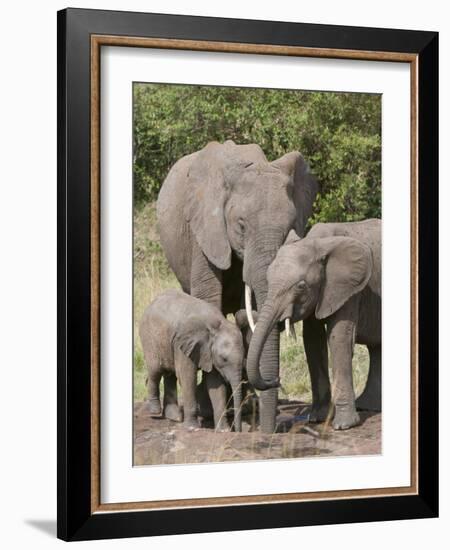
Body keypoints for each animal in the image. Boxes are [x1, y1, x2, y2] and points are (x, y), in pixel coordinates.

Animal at [141, 292, 246, 434]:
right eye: (223, 359)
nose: (239, 431)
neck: (216, 325)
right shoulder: (184, 344)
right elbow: (188, 377)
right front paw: (192, 428)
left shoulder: (208, 352)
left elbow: (216, 384)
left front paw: (223, 431)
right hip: (149, 338)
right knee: (155, 370)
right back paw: (155, 412)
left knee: (170, 374)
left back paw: (174, 417)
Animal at [156, 142, 318, 436]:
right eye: (241, 225)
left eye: (291, 227)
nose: (275, 380)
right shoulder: (204, 229)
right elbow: (208, 298)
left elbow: (250, 317)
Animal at [248, 220, 382, 432]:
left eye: (301, 286)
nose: (275, 380)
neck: (318, 243)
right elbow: (312, 340)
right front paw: (317, 419)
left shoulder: (349, 288)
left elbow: (338, 338)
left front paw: (343, 425)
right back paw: (369, 406)